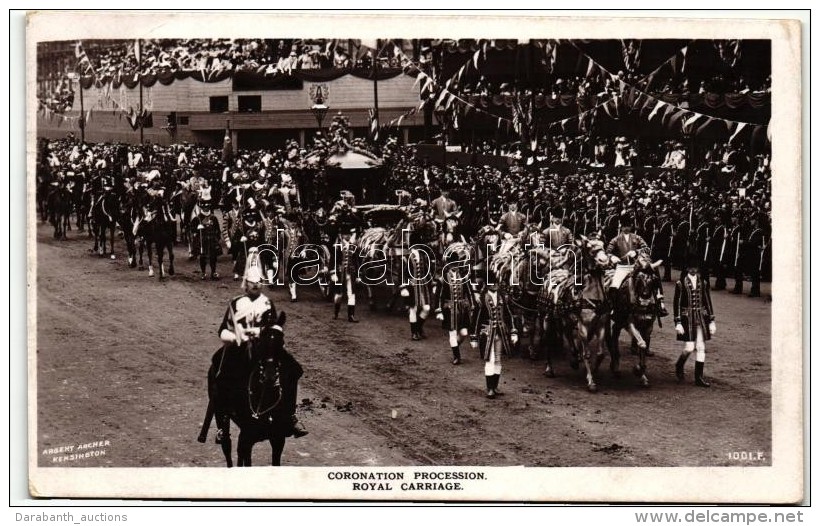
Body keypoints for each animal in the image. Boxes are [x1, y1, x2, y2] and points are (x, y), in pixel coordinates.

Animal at [199, 312, 302, 468]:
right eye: (260, 342)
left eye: (282, 341)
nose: (270, 376)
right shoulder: (248, 438)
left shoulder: (278, 439)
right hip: (221, 415)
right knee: (227, 445)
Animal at [608, 254, 668, 390]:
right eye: (639, 278)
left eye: (654, 279)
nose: (645, 296)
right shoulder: (629, 323)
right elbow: (641, 343)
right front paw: (637, 370)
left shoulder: (647, 326)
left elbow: (644, 346)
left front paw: (642, 374)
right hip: (619, 319)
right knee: (613, 336)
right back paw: (615, 366)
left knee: (614, 333)